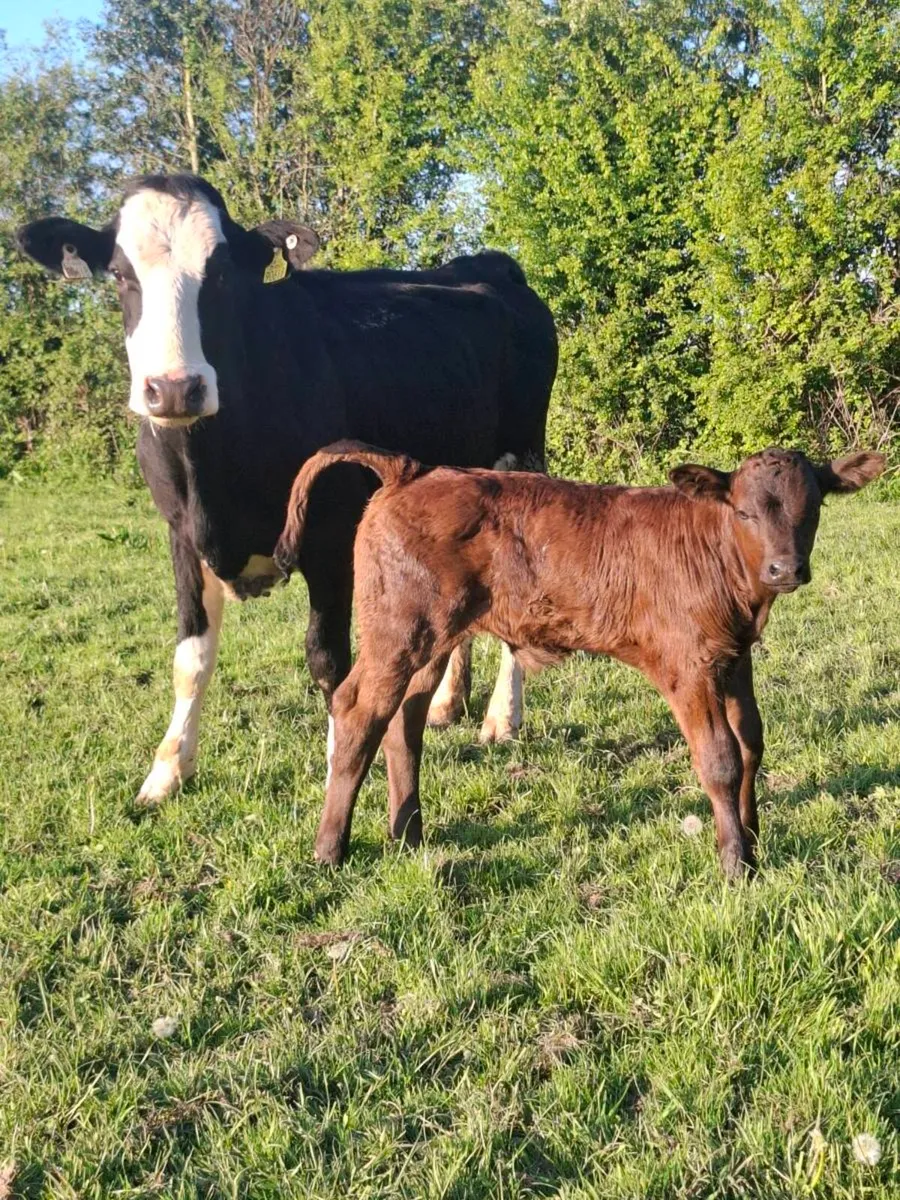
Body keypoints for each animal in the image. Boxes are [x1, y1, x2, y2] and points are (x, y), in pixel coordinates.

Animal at [17, 174, 557, 805]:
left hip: (524, 455)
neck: (214, 476)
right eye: (123, 275)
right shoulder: (179, 532)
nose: (174, 389)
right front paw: (168, 770)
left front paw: (340, 771)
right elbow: (189, 657)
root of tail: (486, 264)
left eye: (222, 276)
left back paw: (502, 716)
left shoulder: (331, 533)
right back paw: (448, 702)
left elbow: (328, 661)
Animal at [274, 440, 885, 876]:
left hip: (432, 637)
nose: (785, 569)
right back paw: (330, 849)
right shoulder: (688, 667)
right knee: (359, 709)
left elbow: (753, 744)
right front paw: (736, 863)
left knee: (405, 719)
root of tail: (415, 469)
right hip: (397, 628)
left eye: (813, 508)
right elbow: (720, 759)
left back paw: (409, 835)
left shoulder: (734, 661)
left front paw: (753, 843)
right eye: (744, 512)